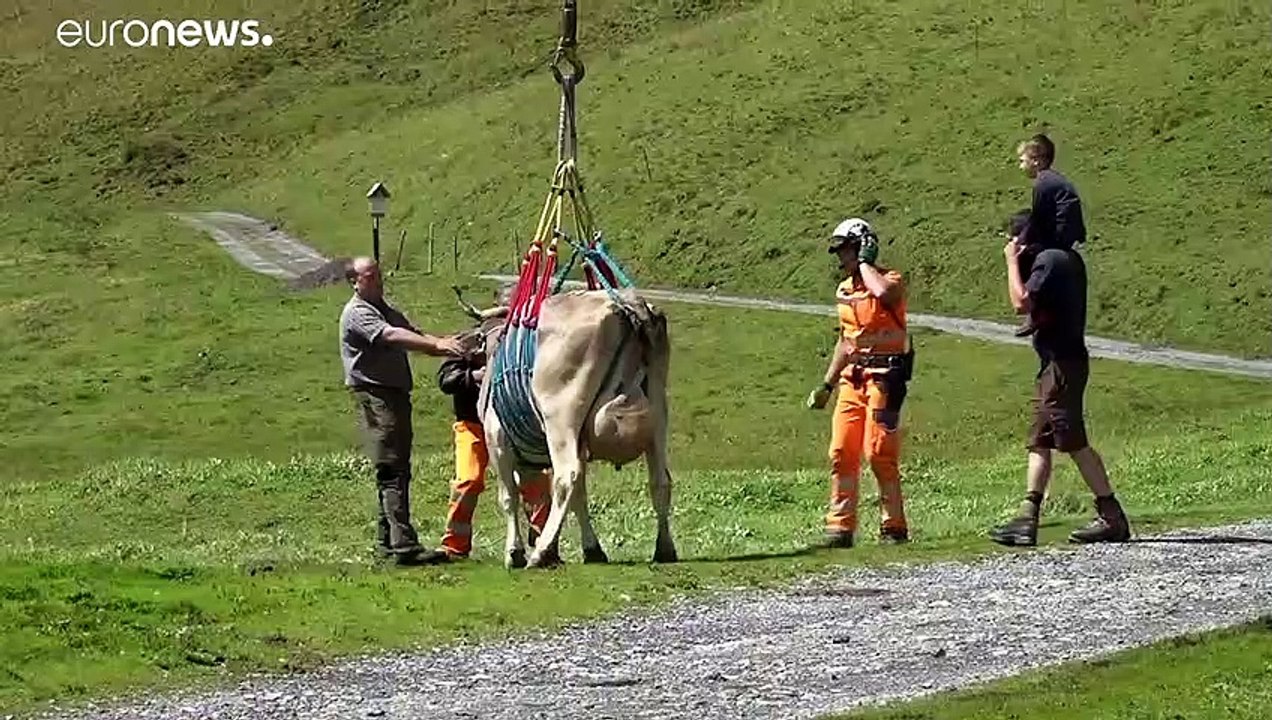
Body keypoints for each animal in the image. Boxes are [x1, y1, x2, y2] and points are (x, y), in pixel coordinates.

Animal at [476, 287, 678, 570]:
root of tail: (626, 305)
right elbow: (580, 497)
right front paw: (590, 548)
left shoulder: (497, 444)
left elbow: (509, 498)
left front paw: (515, 552)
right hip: (658, 417)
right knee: (660, 480)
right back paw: (665, 548)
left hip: (561, 420)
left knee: (565, 478)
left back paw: (539, 553)